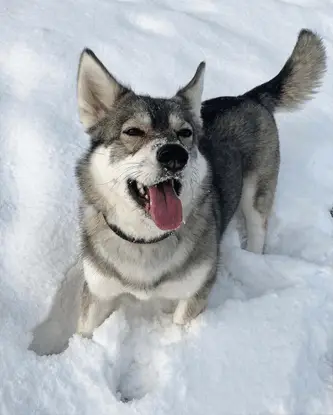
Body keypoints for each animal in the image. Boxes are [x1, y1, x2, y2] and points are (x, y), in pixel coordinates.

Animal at [74, 29, 324, 336]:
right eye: (132, 131)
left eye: (185, 133)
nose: (174, 155)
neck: (147, 241)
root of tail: (248, 97)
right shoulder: (98, 291)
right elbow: (85, 332)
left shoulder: (195, 291)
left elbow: (180, 324)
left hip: (257, 194)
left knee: (257, 230)